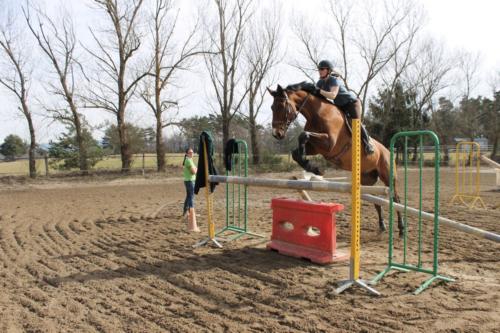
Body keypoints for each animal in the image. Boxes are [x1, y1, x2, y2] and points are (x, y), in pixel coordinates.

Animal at [268, 81, 404, 235]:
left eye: (282, 106)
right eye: (272, 107)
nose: (276, 134)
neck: (317, 114)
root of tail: (387, 150)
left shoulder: (329, 144)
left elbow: (303, 135)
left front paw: (315, 168)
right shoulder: (315, 148)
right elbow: (296, 152)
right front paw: (314, 168)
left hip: (388, 176)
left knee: (396, 198)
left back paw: (401, 228)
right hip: (367, 179)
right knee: (377, 200)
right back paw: (382, 225)